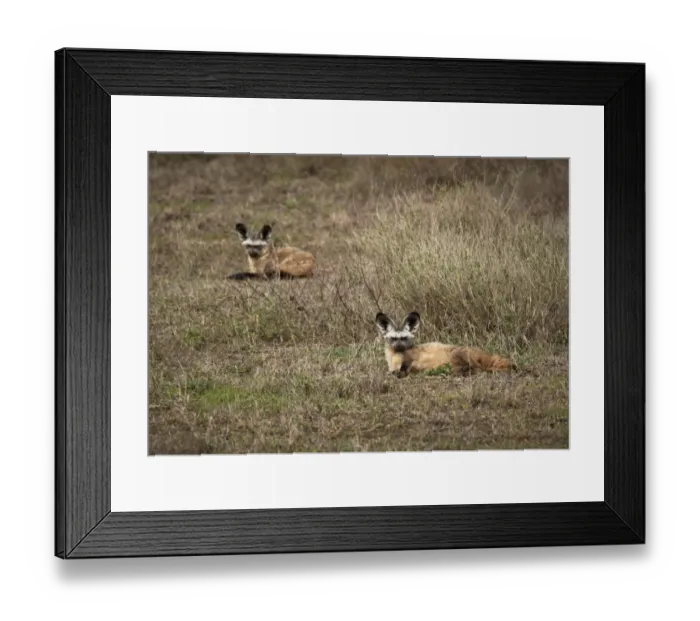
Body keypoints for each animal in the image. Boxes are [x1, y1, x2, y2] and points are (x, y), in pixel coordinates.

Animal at [375, 311, 516, 378]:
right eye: (393, 339)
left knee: (477, 368)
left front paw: (401, 373)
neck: (395, 358)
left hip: (457, 355)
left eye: (404, 338)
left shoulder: (410, 360)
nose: (399, 347)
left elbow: (404, 369)